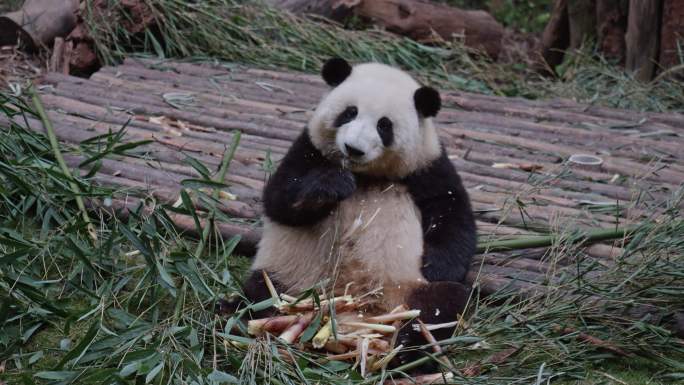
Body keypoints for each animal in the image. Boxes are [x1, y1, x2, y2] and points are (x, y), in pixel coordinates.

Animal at [224, 57, 476, 366]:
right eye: (349, 113)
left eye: (384, 125)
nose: (353, 148)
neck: (365, 175)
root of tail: (352, 312)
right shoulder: (308, 149)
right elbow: (280, 198)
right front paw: (332, 186)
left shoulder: (427, 167)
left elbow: (452, 212)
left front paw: (436, 264)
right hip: (289, 277)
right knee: (261, 292)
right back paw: (238, 315)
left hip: (407, 291)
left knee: (442, 306)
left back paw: (407, 349)